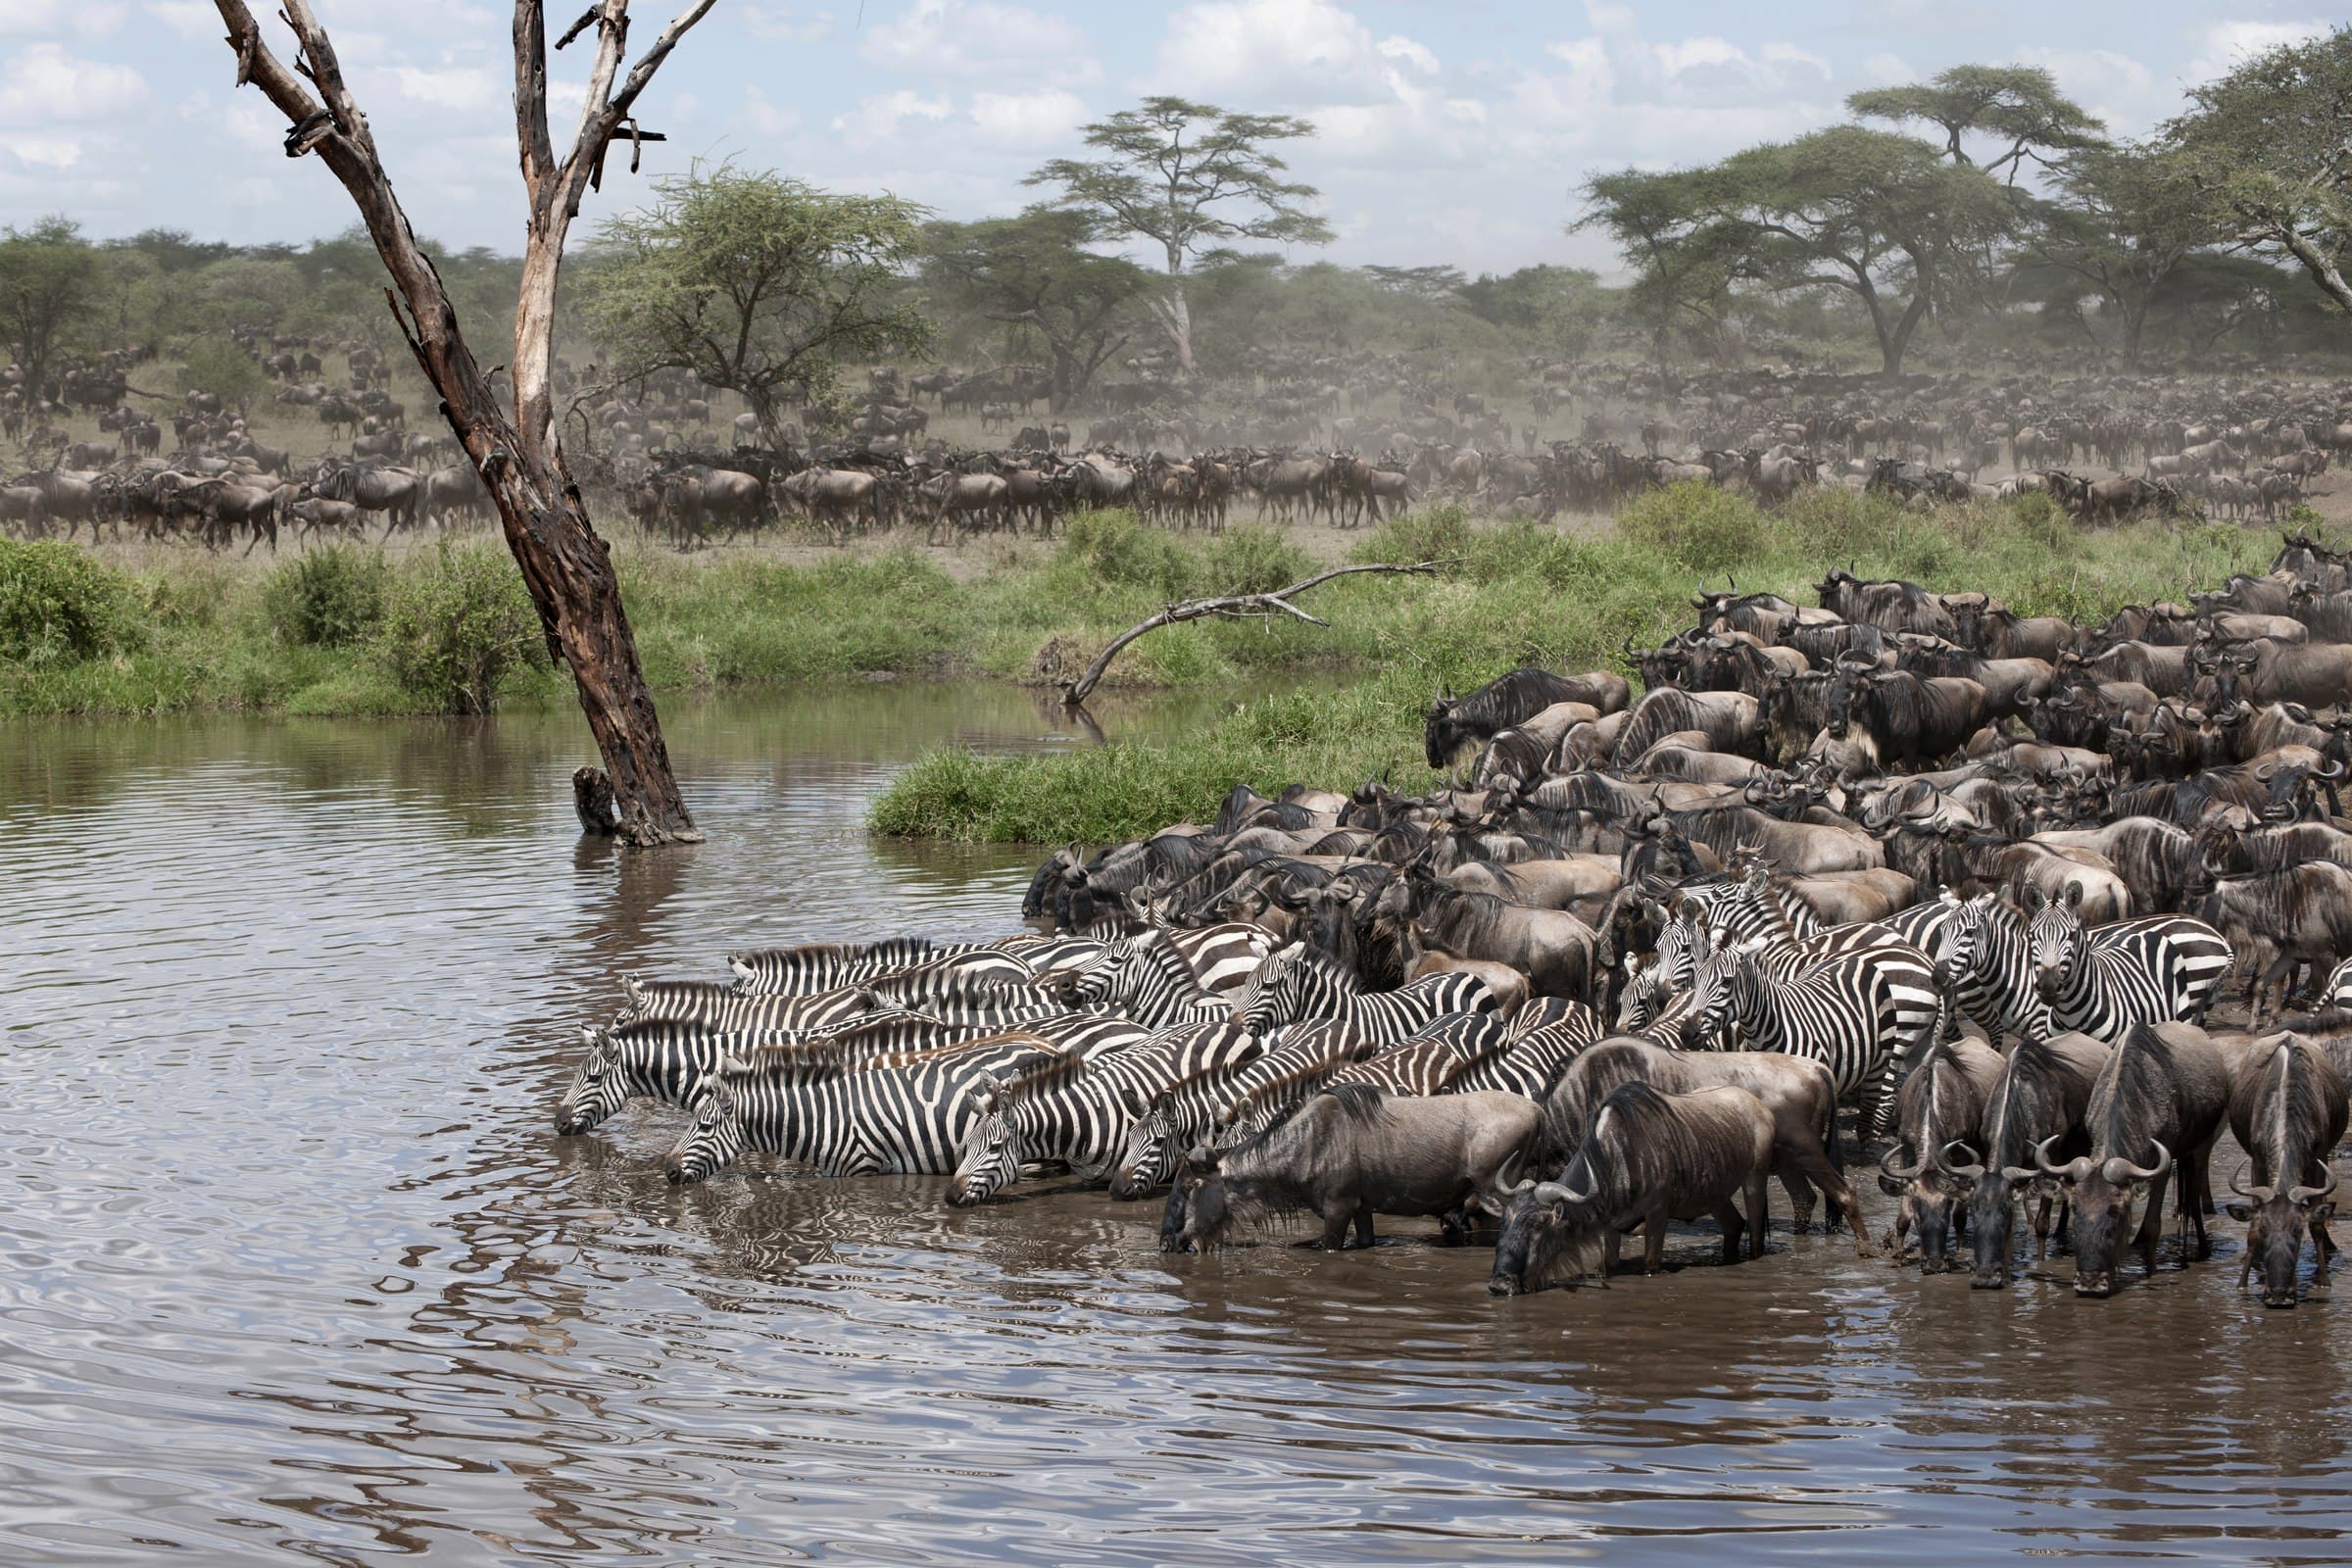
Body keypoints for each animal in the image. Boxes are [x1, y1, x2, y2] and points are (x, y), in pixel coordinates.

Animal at [946, 1018, 1261, 1205]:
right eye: (968, 1144)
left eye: (994, 1147)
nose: (951, 1196)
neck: (1082, 1121)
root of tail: (1227, 1025)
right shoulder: (1089, 1179)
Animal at [1681, 937, 1942, 1134]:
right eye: (1697, 980)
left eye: (1726, 982)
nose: (1687, 1033)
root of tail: (1927, 961)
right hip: (1920, 1041)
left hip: (1898, 1036)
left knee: (1885, 1094)